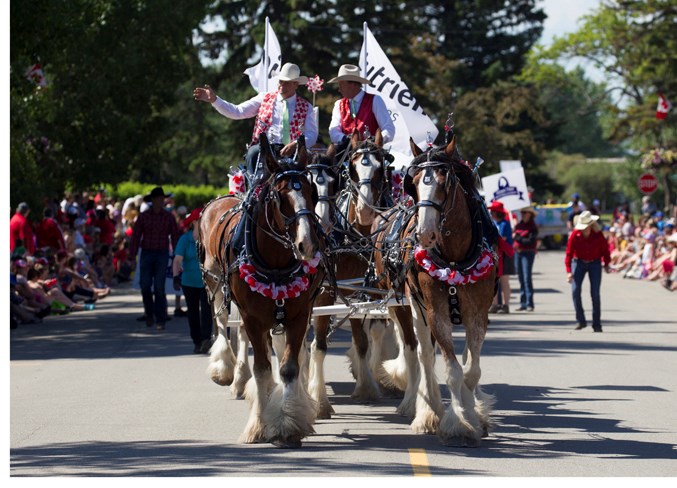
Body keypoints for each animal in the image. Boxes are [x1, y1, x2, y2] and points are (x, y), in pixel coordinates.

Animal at [197, 133, 324, 446]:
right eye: (279, 197)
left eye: (312, 192)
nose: (307, 245)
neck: (276, 262)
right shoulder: (253, 317)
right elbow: (262, 368)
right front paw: (259, 425)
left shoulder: (298, 314)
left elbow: (289, 367)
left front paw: (289, 423)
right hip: (214, 283)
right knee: (224, 325)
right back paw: (229, 373)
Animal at [308, 127, 396, 418]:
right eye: (353, 169)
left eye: (382, 167)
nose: (366, 211)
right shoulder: (323, 294)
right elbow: (319, 345)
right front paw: (319, 402)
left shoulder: (364, 291)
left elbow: (364, 340)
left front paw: (369, 385)